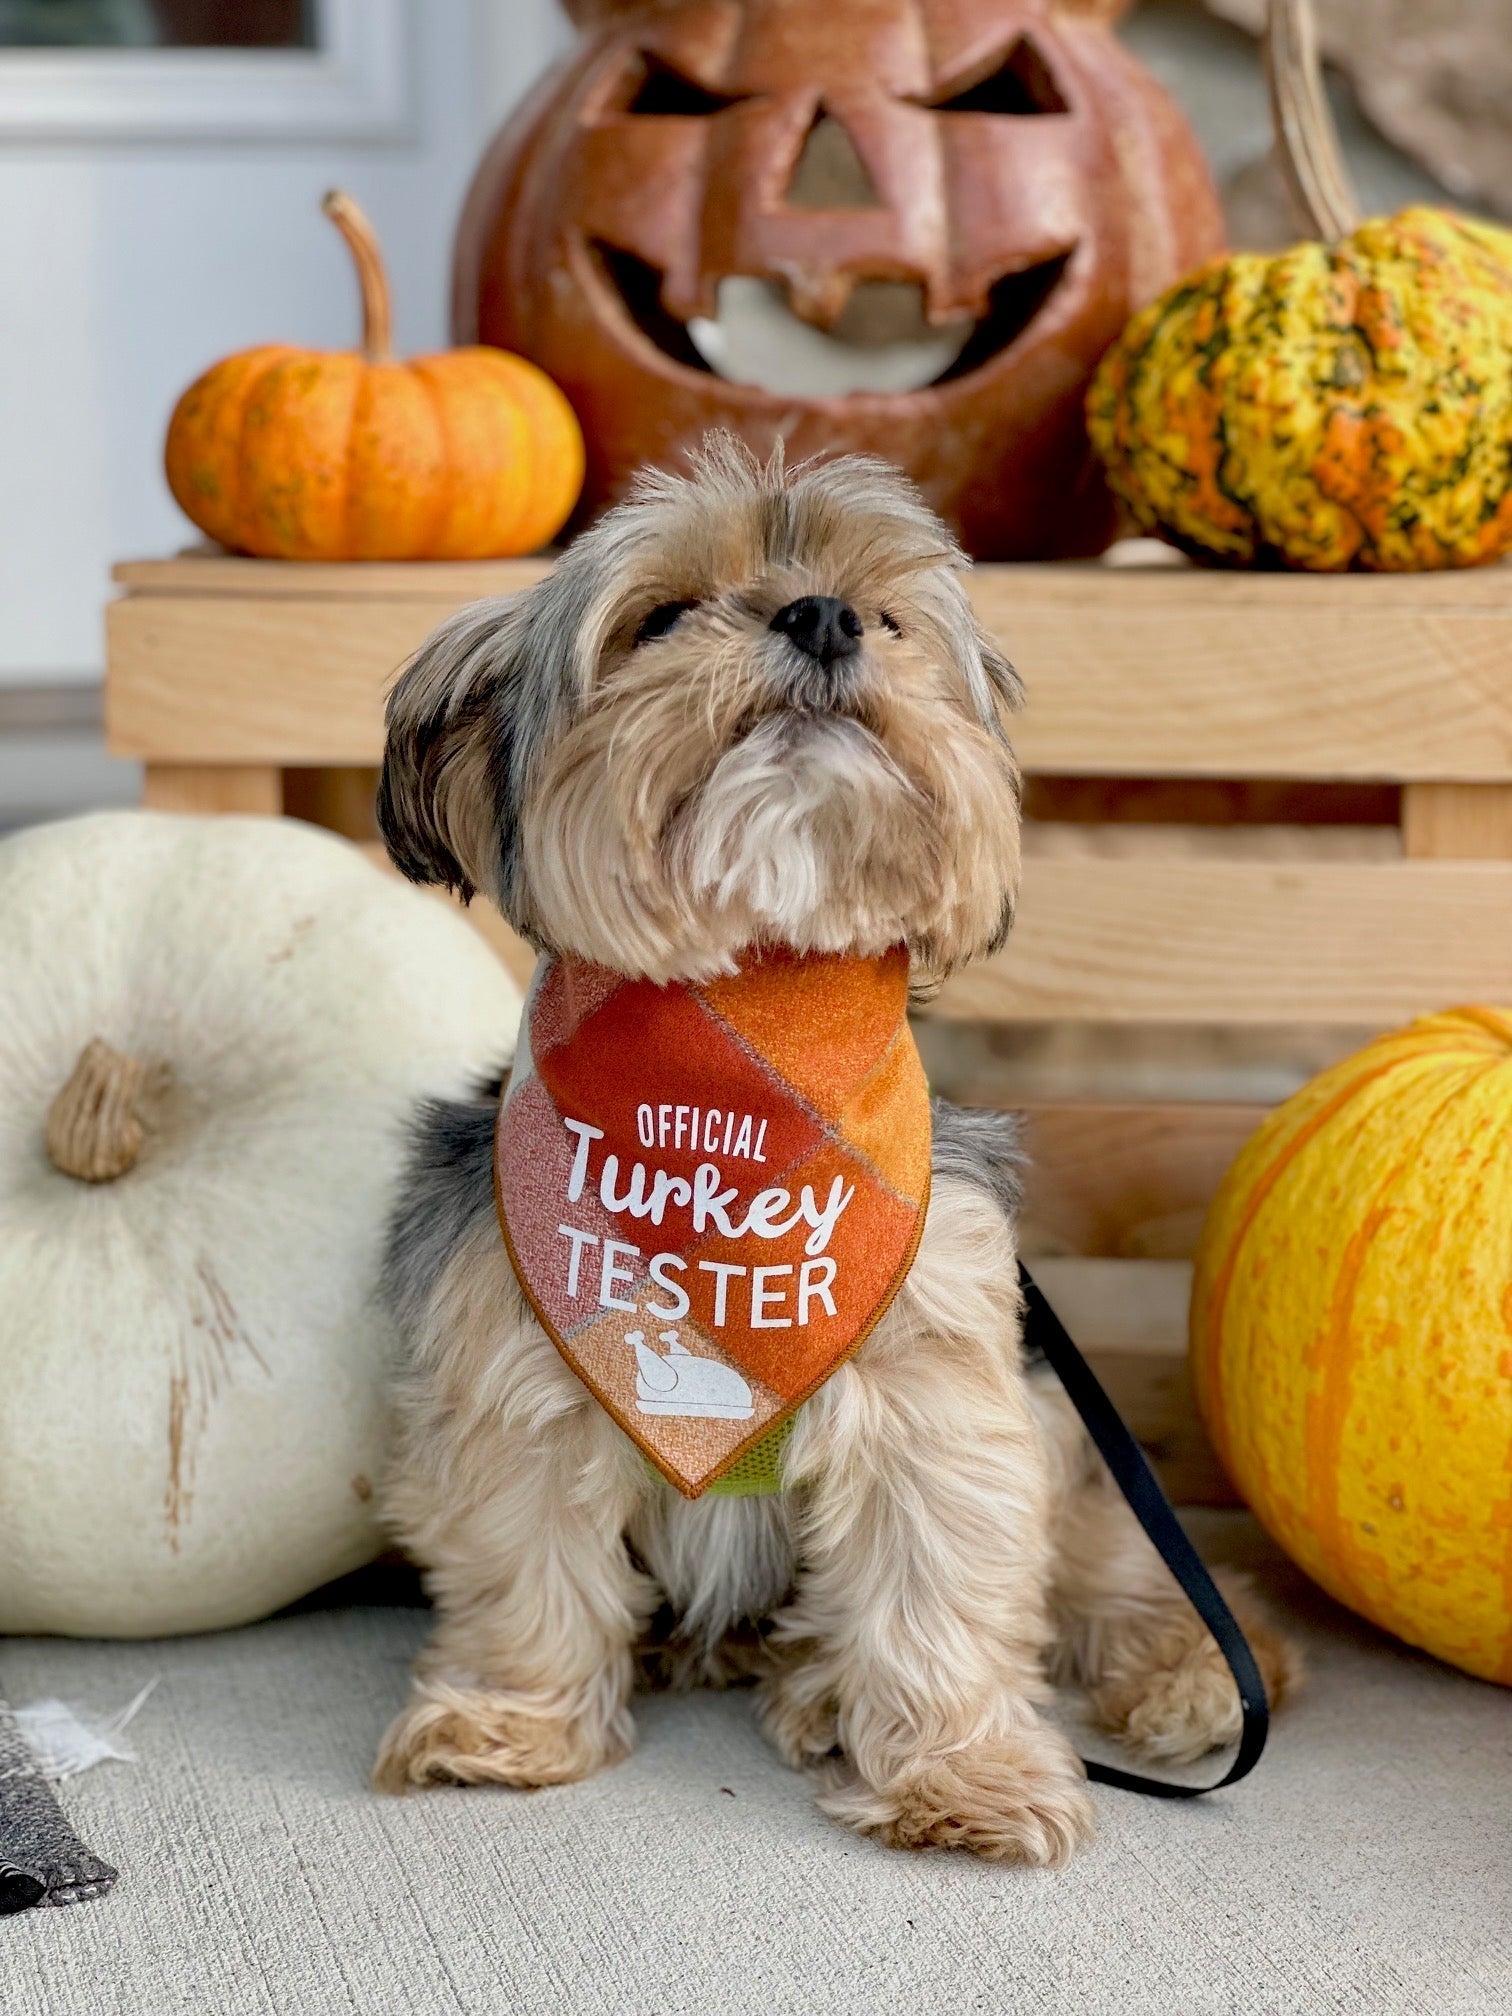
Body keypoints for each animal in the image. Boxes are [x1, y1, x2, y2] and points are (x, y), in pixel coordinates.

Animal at [370, 437, 1306, 1854]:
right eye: (659, 618)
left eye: (889, 615)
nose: (821, 616)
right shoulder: (513, 1371)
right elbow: (524, 1569)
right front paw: (511, 1721)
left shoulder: (936, 1388)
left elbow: (938, 1596)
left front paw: (961, 1775)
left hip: (1068, 1441)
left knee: (1126, 1577)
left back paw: (1186, 1675)